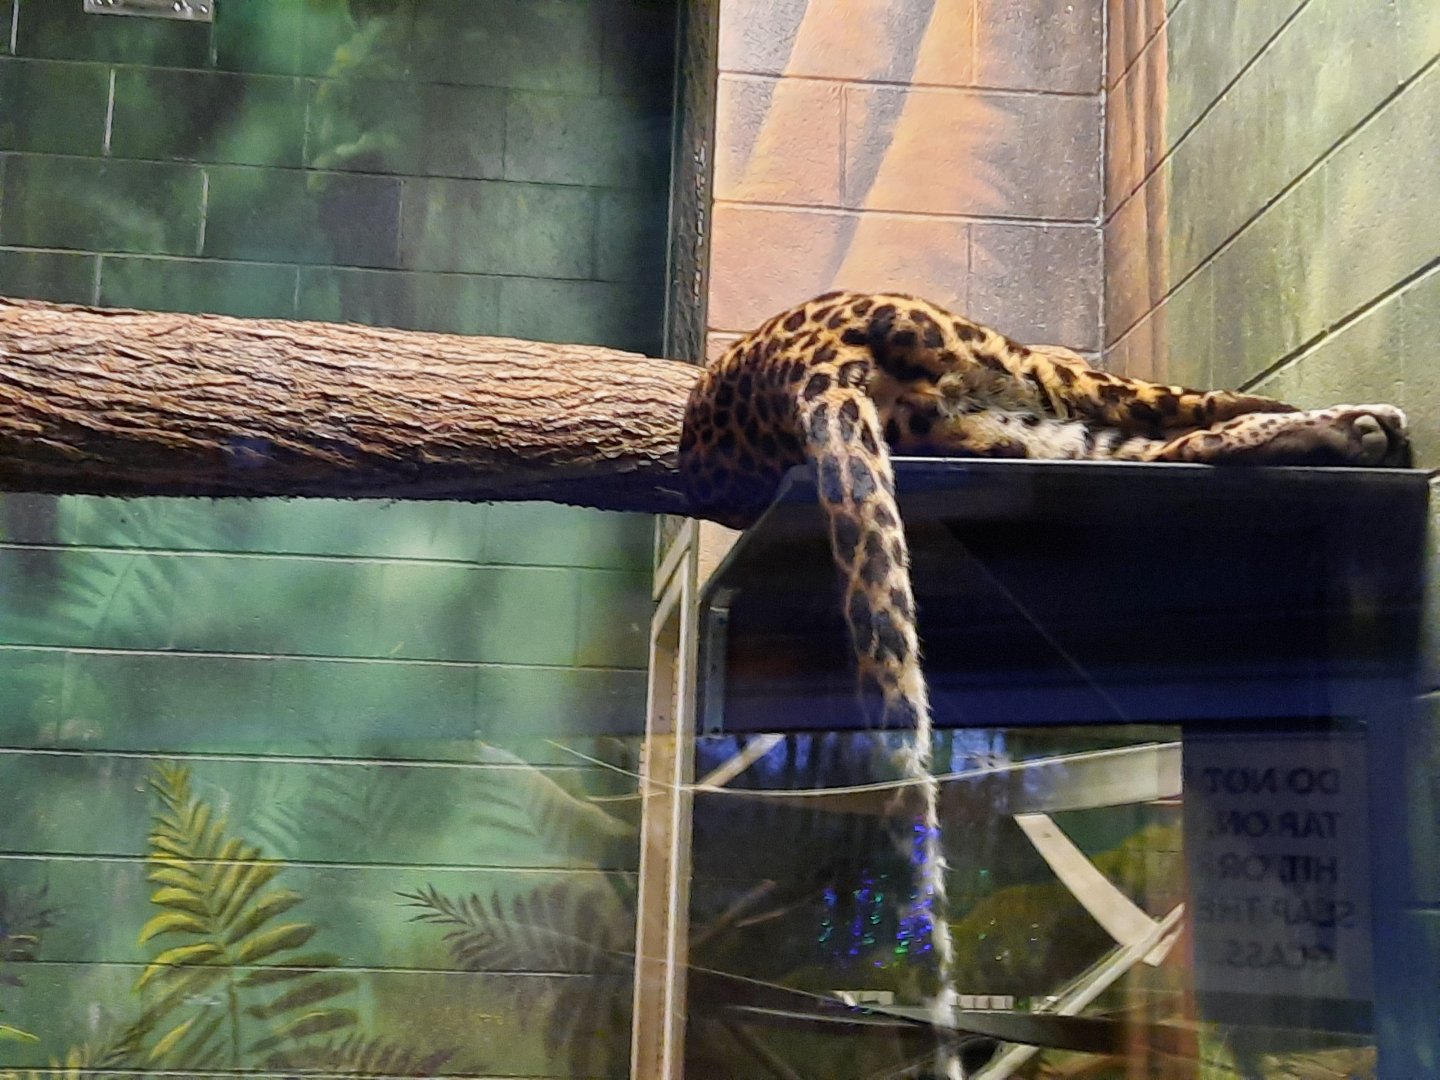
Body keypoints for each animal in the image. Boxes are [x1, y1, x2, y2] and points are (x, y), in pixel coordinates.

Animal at [679, 290, 1411, 729]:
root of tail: (792, 372)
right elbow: (1213, 402)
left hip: (1036, 431)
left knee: (1190, 443)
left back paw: (1349, 434)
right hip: (1042, 378)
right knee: (1197, 412)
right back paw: (1359, 426)